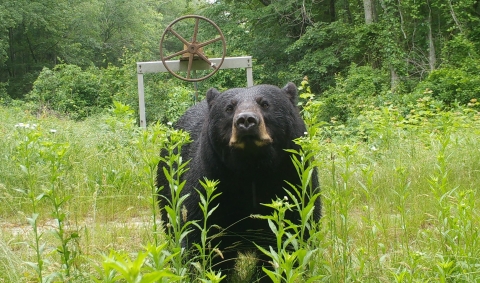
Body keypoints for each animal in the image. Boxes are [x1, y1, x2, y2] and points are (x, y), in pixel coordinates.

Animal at [158, 83, 320, 280]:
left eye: (265, 104)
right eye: (229, 108)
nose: (246, 121)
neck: (251, 170)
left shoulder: (293, 177)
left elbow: (293, 231)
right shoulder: (209, 178)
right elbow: (199, 232)